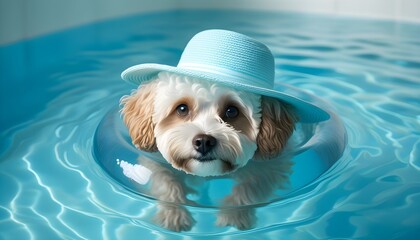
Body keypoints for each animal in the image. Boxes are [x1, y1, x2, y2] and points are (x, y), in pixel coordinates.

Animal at [120, 72, 296, 232]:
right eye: (182, 108)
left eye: (232, 111)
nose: (204, 142)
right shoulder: (154, 161)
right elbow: (165, 181)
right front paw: (174, 214)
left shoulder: (272, 166)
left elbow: (252, 185)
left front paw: (234, 215)